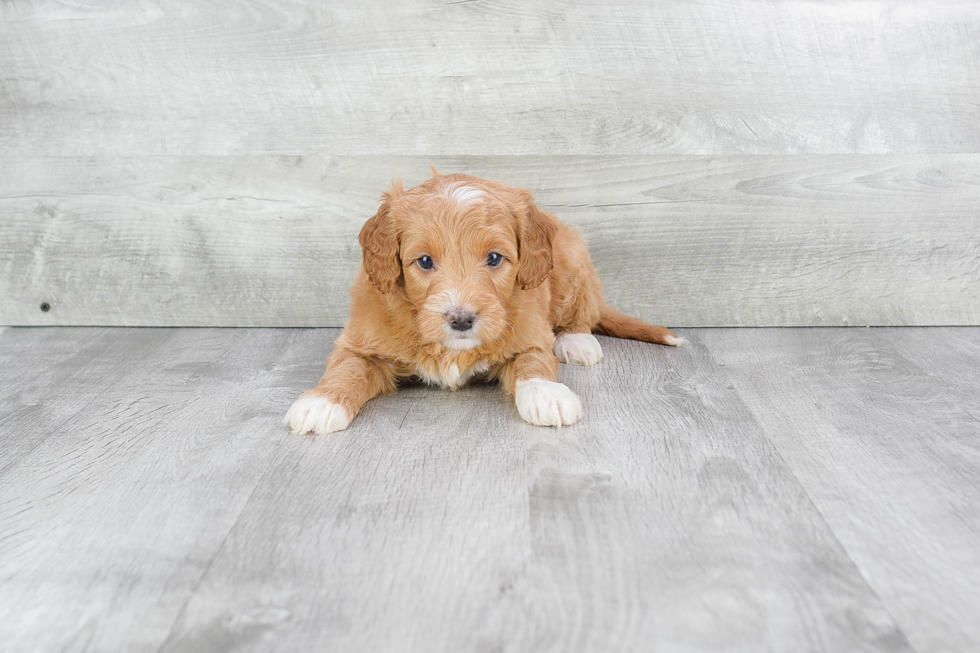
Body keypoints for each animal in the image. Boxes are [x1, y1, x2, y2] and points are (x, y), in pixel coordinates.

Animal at [288, 171, 676, 432]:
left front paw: (547, 395)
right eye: (424, 261)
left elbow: (533, 362)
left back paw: (577, 341)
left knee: (580, 313)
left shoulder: (531, 333)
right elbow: (347, 367)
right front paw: (322, 401)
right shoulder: (360, 340)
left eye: (493, 258)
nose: (461, 320)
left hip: (572, 257)